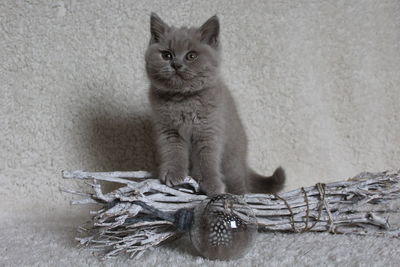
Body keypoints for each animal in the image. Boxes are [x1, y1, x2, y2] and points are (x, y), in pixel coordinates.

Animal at [145, 13, 286, 197]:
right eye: (166, 55)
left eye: (191, 56)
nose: (176, 65)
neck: (183, 99)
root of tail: (244, 160)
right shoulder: (169, 130)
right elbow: (173, 152)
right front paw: (173, 174)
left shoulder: (208, 130)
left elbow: (207, 159)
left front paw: (212, 185)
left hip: (232, 162)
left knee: (239, 182)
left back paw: (239, 196)